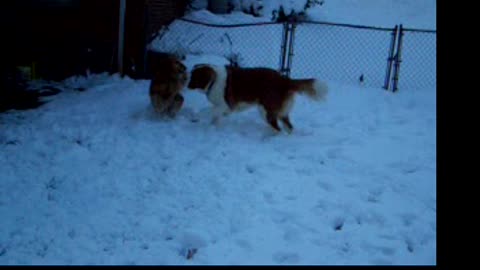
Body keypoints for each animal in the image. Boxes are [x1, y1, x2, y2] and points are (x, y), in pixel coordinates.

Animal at [186, 65, 328, 133]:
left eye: (193, 77)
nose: (186, 83)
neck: (214, 81)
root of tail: (284, 80)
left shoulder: (224, 105)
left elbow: (207, 110)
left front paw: (196, 116)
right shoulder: (224, 109)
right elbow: (215, 116)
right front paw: (212, 127)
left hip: (265, 110)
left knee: (278, 128)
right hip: (280, 112)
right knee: (289, 127)